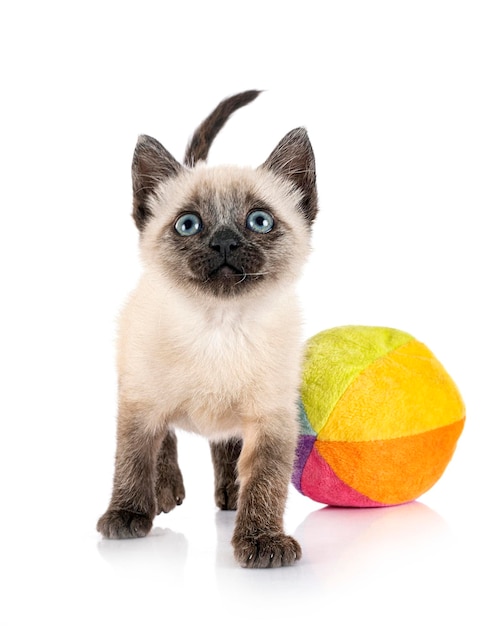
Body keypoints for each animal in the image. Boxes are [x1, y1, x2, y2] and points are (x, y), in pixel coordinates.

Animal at [97, 89, 318, 564]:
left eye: (259, 221)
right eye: (188, 224)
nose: (224, 242)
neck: (220, 327)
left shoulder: (272, 417)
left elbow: (266, 481)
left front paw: (262, 539)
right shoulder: (140, 404)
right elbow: (133, 459)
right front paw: (126, 514)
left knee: (227, 444)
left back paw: (230, 494)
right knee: (165, 442)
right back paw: (164, 492)